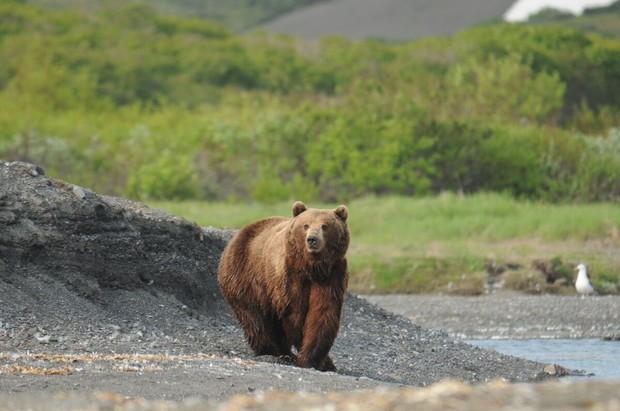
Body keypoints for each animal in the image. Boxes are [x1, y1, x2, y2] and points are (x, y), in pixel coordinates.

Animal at [217, 201, 348, 372]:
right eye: (306, 225)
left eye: (325, 226)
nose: (312, 239)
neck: (311, 267)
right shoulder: (290, 276)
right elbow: (295, 314)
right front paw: (317, 359)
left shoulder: (332, 276)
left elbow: (323, 313)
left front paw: (317, 360)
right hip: (245, 276)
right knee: (254, 318)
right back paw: (272, 350)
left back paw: (285, 352)